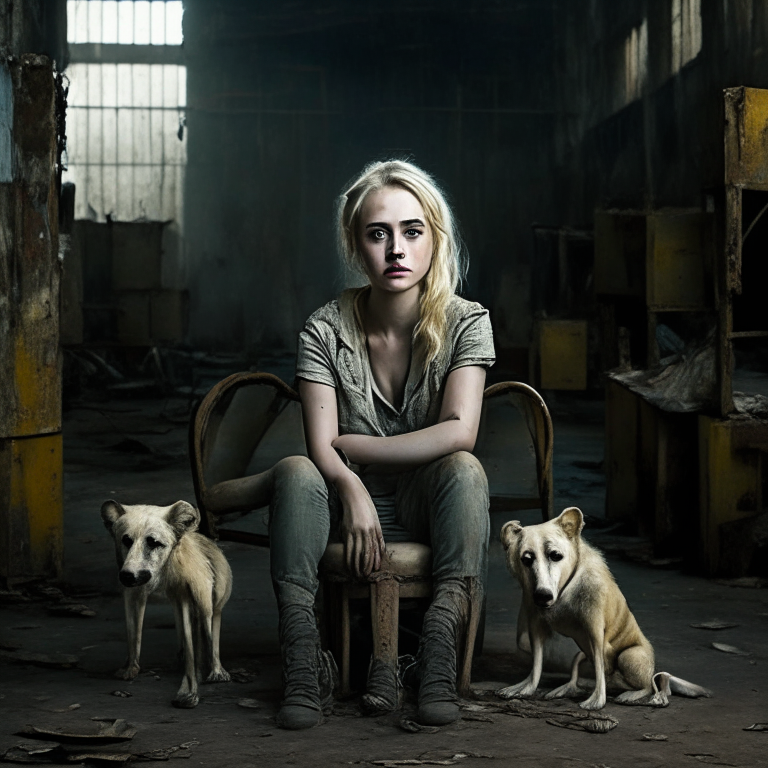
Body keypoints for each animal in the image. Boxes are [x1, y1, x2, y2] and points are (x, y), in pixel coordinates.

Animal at [102, 498, 234, 708]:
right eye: (126, 541)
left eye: (154, 543)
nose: (127, 575)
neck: (165, 571)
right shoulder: (135, 594)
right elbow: (133, 635)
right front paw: (131, 667)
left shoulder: (191, 596)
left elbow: (199, 643)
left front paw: (189, 690)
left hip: (209, 603)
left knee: (208, 632)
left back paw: (215, 669)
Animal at [496, 508, 712, 712]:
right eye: (526, 559)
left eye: (556, 556)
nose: (542, 595)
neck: (565, 589)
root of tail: (617, 682)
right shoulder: (536, 626)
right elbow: (537, 663)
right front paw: (526, 688)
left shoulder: (595, 629)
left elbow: (599, 666)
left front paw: (597, 700)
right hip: (581, 655)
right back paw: (566, 688)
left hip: (629, 656)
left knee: (654, 684)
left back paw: (637, 695)